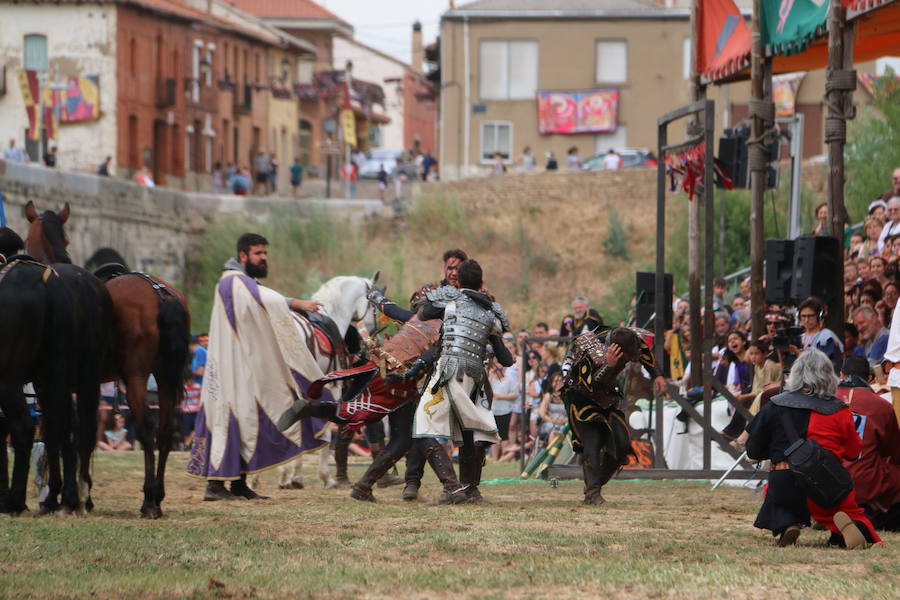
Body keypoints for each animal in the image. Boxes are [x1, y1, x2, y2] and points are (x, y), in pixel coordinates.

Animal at [25, 200, 190, 516]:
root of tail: (160, 293)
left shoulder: (51, 384)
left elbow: (62, 431)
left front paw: (63, 495)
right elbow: (79, 433)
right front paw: (81, 496)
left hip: (136, 377)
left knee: (147, 427)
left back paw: (148, 499)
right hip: (164, 377)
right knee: (165, 430)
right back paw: (158, 496)